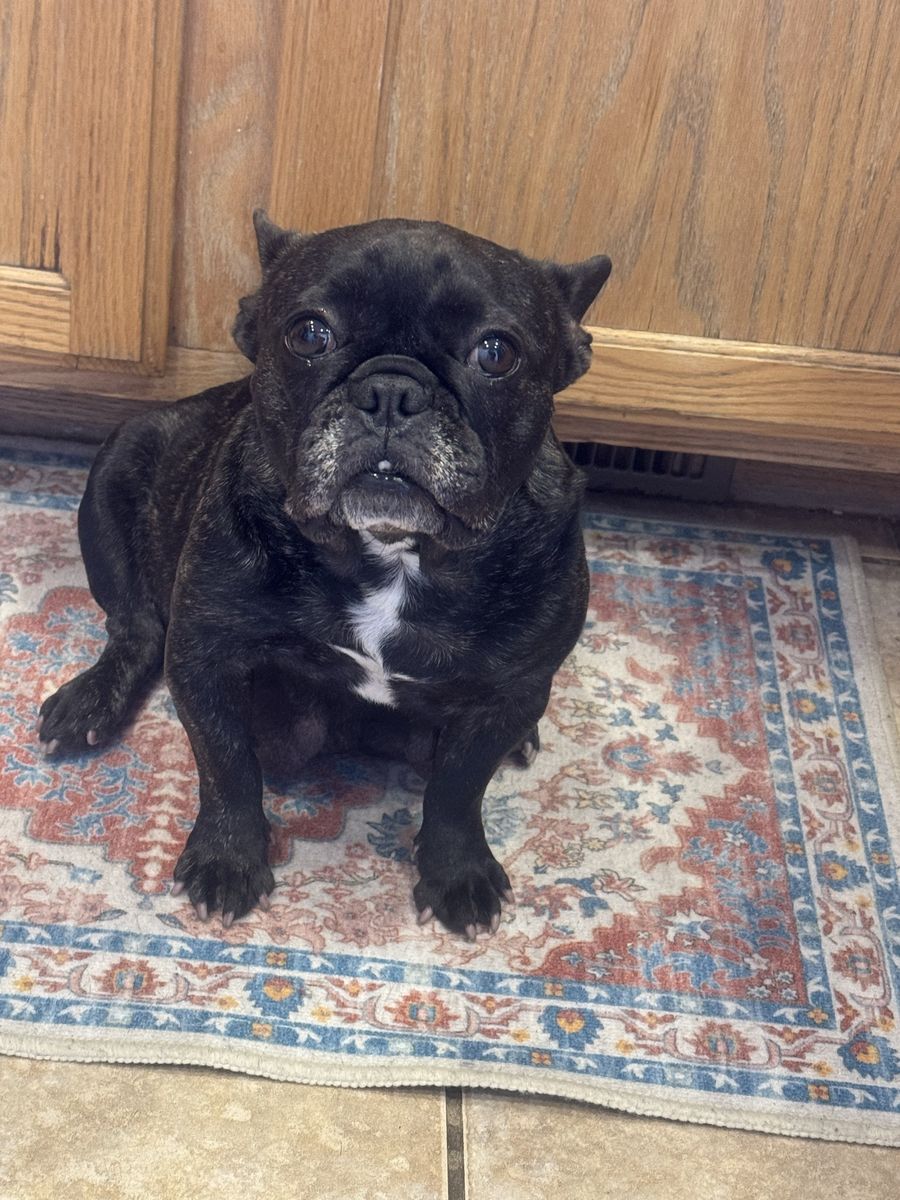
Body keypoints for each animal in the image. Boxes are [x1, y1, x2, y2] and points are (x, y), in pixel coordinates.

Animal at [38, 212, 611, 939]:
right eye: (309, 334)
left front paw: (456, 874)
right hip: (117, 467)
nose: (392, 390)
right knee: (134, 625)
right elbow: (225, 764)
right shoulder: (205, 656)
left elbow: (458, 789)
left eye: (496, 353)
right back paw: (91, 700)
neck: (393, 552)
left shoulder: (507, 695)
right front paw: (228, 859)